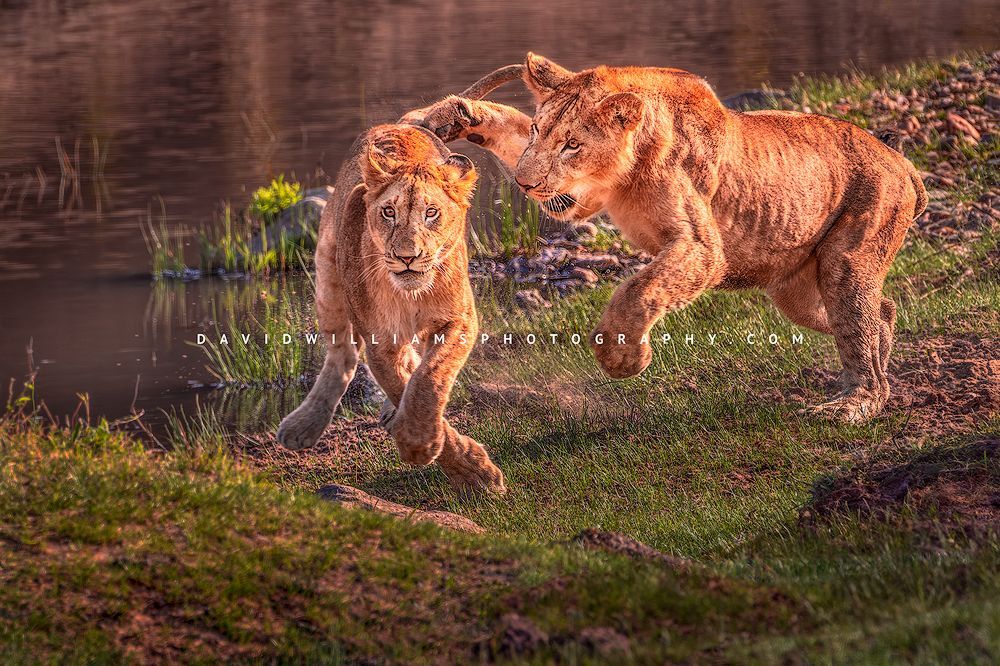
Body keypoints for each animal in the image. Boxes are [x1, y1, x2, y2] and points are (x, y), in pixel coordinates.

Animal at [276, 124, 505, 493]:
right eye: (388, 212)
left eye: (431, 213)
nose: (407, 257)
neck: (411, 296)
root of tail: (405, 123)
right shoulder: (381, 341)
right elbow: (403, 384)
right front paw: (446, 457)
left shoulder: (459, 320)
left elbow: (429, 380)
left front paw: (429, 446)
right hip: (327, 278)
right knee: (341, 357)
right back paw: (304, 425)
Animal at [407, 54, 928, 422]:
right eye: (539, 130)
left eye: (572, 144)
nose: (525, 184)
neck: (626, 170)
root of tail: (901, 161)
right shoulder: (579, 198)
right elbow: (512, 136)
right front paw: (456, 114)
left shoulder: (702, 248)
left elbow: (639, 289)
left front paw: (623, 357)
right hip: (795, 294)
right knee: (879, 311)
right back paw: (877, 353)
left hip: (847, 257)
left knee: (858, 324)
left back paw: (854, 403)